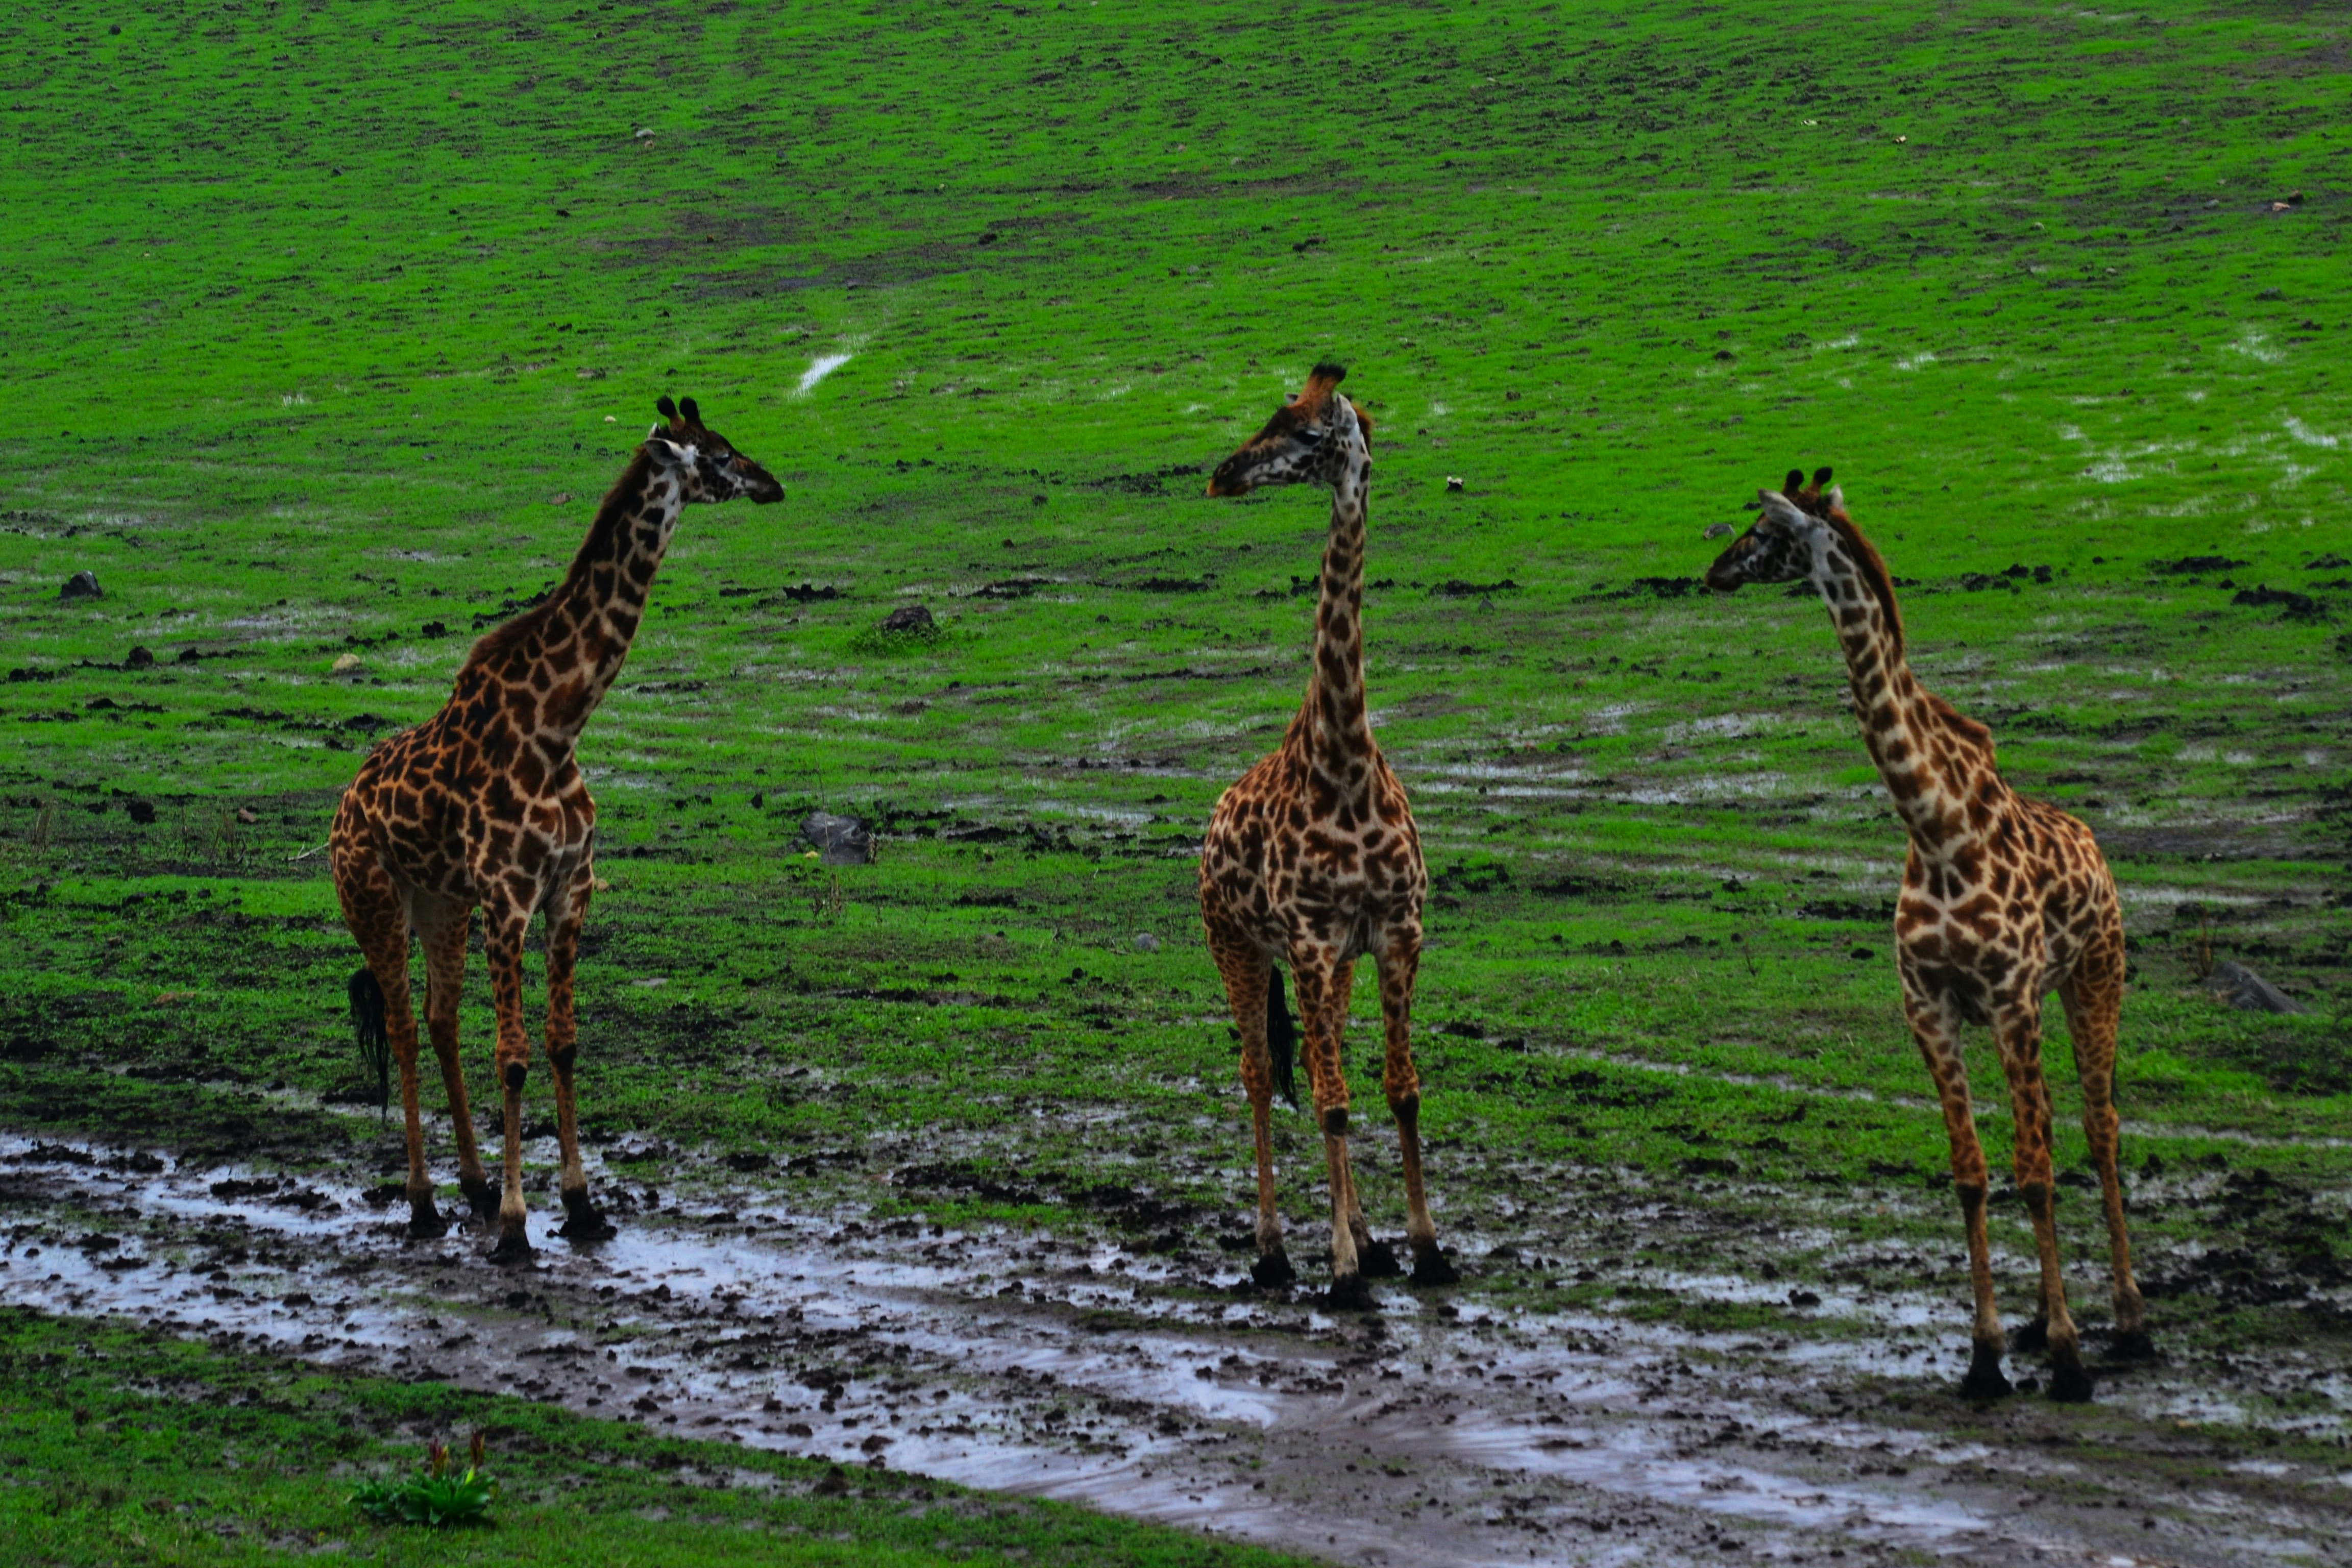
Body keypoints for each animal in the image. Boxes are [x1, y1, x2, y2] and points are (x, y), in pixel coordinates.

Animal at [332, 396, 782, 1262]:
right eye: (717, 454)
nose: (773, 482)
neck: (555, 727)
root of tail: (342, 806)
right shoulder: (509, 897)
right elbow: (512, 1057)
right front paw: (517, 1226)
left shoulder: (570, 888)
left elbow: (562, 1040)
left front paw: (579, 1205)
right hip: (374, 899)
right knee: (402, 1026)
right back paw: (425, 1203)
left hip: (443, 904)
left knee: (439, 1019)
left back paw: (472, 1187)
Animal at [1197, 361, 1457, 1306]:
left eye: (1308, 434)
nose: (1224, 475)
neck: (1342, 761)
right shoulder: (1307, 939)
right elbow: (1334, 1100)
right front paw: (1342, 1272)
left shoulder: (1394, 932)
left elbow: (1398, 1088)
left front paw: (1421, 1248)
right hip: (1236, 944)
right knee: (1259, 1075)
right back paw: (1274, 1251)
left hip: (1332, 965)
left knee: (1318, 1063)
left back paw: (1366, 1240)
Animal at [1706, 466, 2148, 1400]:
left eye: (1768, 532)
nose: (1714, 570)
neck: (1936, 825)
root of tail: (2095, 844)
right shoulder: (1930, 1006)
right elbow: (1974, 1174)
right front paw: (1986, 1355)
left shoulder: (2011, 999)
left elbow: (2033, 1173)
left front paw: (2068, 1358)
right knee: (2052, 1128)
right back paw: (2038, 1320)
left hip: (2094, 975)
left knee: (2099, 1126)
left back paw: (2129, 1322)